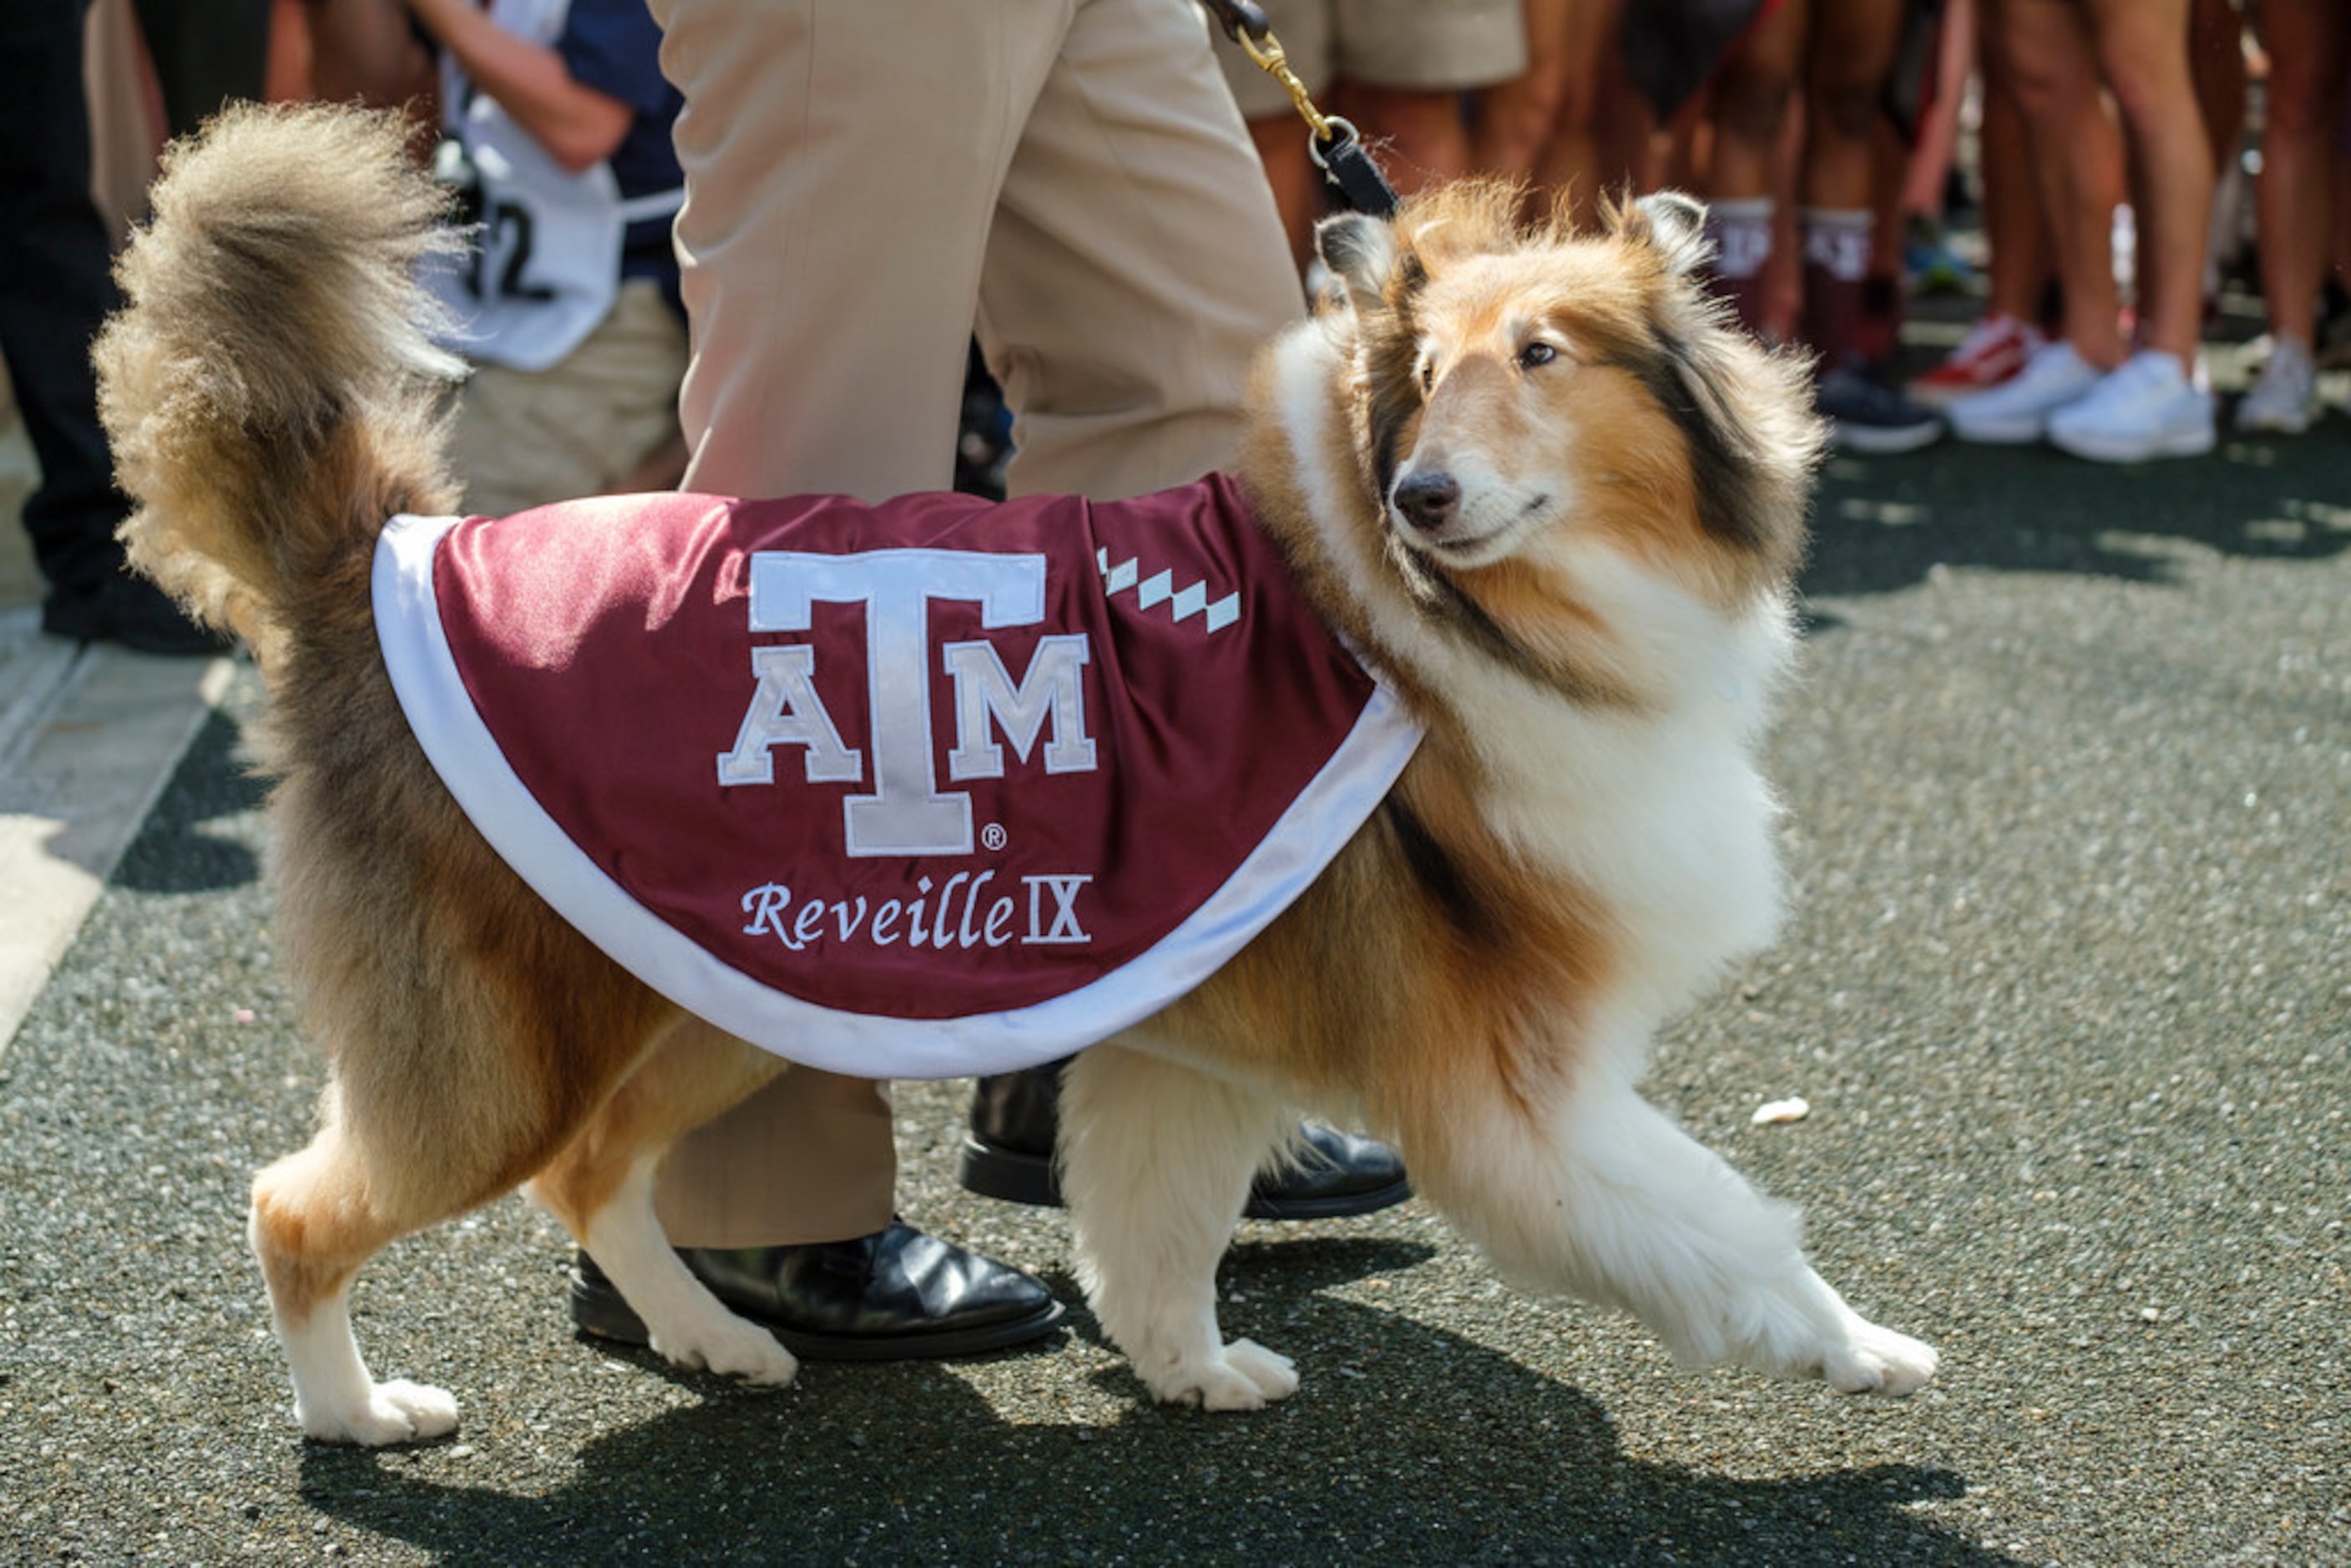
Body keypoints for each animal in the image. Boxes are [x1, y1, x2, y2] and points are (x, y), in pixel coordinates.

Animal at [96, 101, 1928, 1448]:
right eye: (1422, 380)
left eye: (1544, 354)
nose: (1421, 498)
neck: (1418, 617)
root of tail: (373, 558)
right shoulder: (1510, 1078)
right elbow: (1719, 1217)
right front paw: (1857, 1347)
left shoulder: (1196, 1034)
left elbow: (1161, 1222)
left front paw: (1190, 1367)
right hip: (495, 1047)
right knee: (300, 1206)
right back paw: (357, 1414)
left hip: (722, 985)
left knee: (595, 1172)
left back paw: (709, 1334)